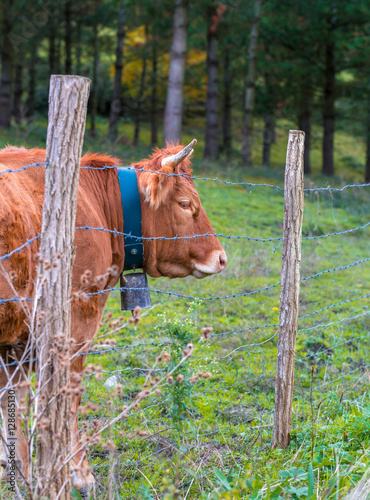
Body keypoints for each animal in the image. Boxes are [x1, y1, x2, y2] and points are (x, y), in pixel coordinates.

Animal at [0, 141, 225, 492]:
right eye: (186, 204)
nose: (221, 257)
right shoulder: (75, 320)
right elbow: (67, 394)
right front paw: (79, 472)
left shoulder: (16, 339)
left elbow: (13, 399)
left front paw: (15, 468)